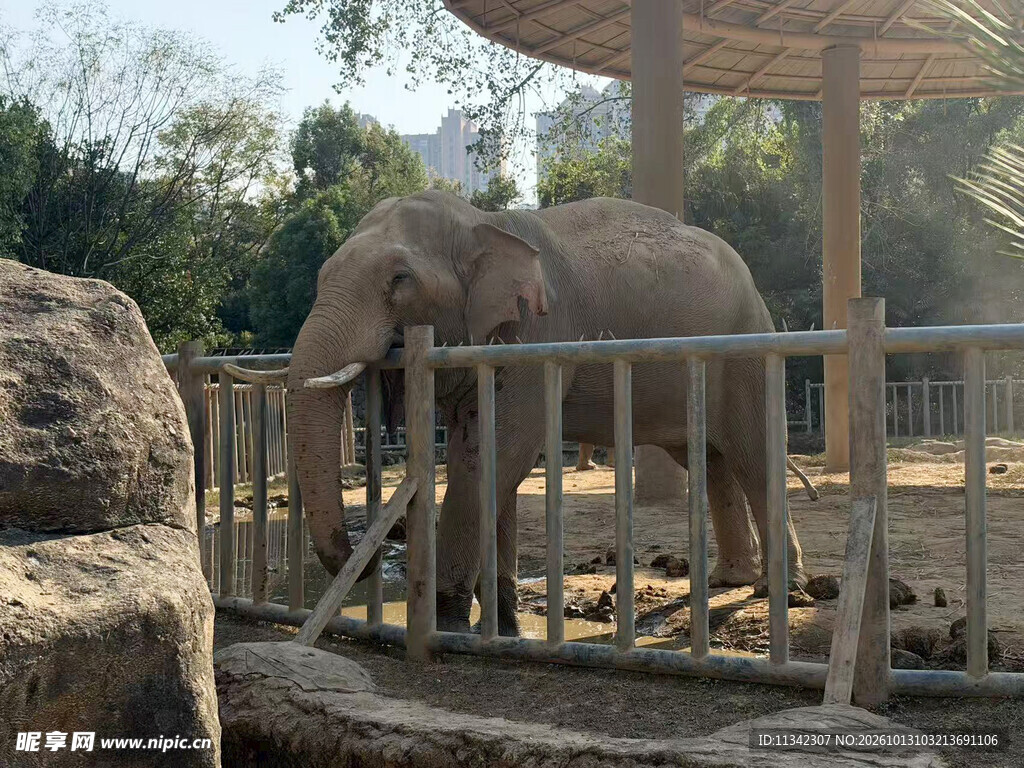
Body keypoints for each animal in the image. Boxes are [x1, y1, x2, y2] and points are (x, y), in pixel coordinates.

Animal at [285, 190, 808, 637]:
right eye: (320, 278)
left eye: (400, 279)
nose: (371, 555)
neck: (483, 222)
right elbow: (482, 456)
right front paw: (500, 628)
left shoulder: (536, 336)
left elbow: (495, 456)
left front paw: (448, 625)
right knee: (710, 460)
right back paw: (730, 580)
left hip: (745, 352)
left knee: (753, 457)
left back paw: (782, 590)